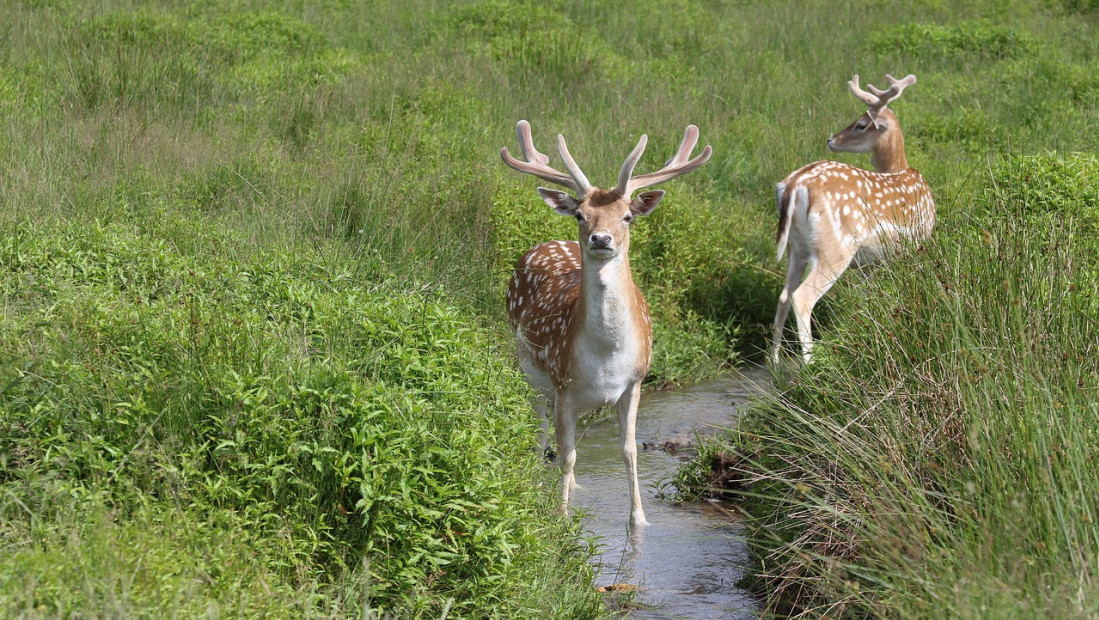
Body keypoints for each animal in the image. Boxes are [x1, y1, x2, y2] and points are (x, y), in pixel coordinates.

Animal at [501, 119, 712, 523]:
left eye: (627, 216)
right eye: (581, 215)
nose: (601, 238)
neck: (606, 356)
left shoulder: (635, 382)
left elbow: (628, 452)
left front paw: (639, 519)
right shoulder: (563, 385)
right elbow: (566, 454)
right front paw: (561, 517)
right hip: (531, 373)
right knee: (541, 433)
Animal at [773, 72, 936, 362]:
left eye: (860, 124)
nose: (831, 139)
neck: (902, 169)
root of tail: (793, 185)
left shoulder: (868, 264)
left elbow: (866, 299)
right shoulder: (915, 245)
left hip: (796, 246)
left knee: (783, 296)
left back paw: (775, 362)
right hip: (835, 247)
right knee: (802, 297)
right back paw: (810, 363)